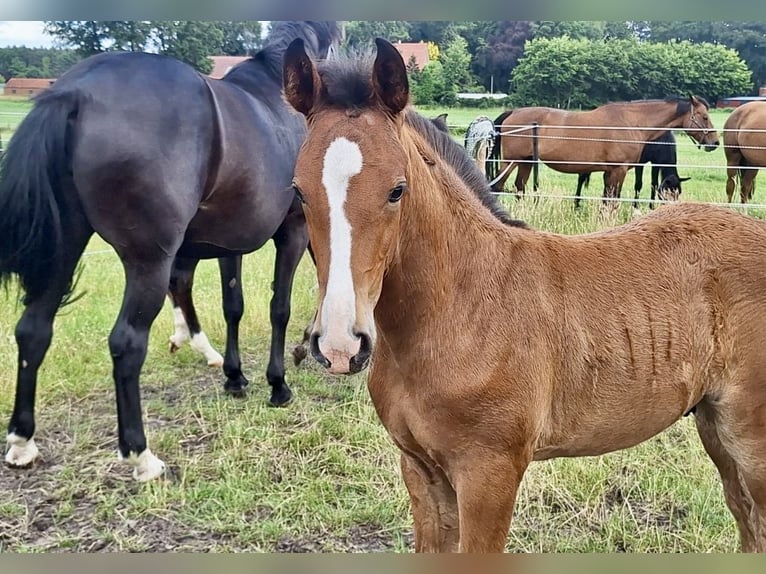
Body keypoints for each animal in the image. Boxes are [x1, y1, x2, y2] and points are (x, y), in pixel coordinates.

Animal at [0, 21, 341, 482]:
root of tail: (75, 92)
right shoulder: (293, 231)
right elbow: (279, 308)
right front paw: (278, 384)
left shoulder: (231, 242)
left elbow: (234, 305)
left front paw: (235, 377)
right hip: (149, 261)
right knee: (127, 343)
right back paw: (140, 455)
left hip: (65, 246)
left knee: (34, 330)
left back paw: (22, 441)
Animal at [487, 98, 718, 202]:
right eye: (705, 117)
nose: (714, 142)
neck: (631, 123)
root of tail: (512, 112)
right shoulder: (618, 171)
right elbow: (612, 201)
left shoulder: (609, 172)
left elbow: (606, 200)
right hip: (511, 162)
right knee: (497, 187)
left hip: (526, 162)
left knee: (519, 188)